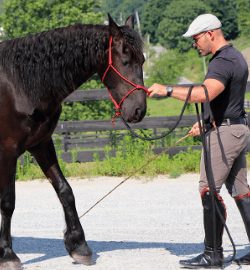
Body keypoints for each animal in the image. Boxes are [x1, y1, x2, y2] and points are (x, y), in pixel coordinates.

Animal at [0, 14, 146, 268]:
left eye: (143, 60)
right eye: (126, 59)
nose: (139, 110)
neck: (19, 83)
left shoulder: (41, 144)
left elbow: (65, 190)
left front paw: (79, 246)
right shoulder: (8, 151)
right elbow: (8, 202)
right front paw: (8, 255)